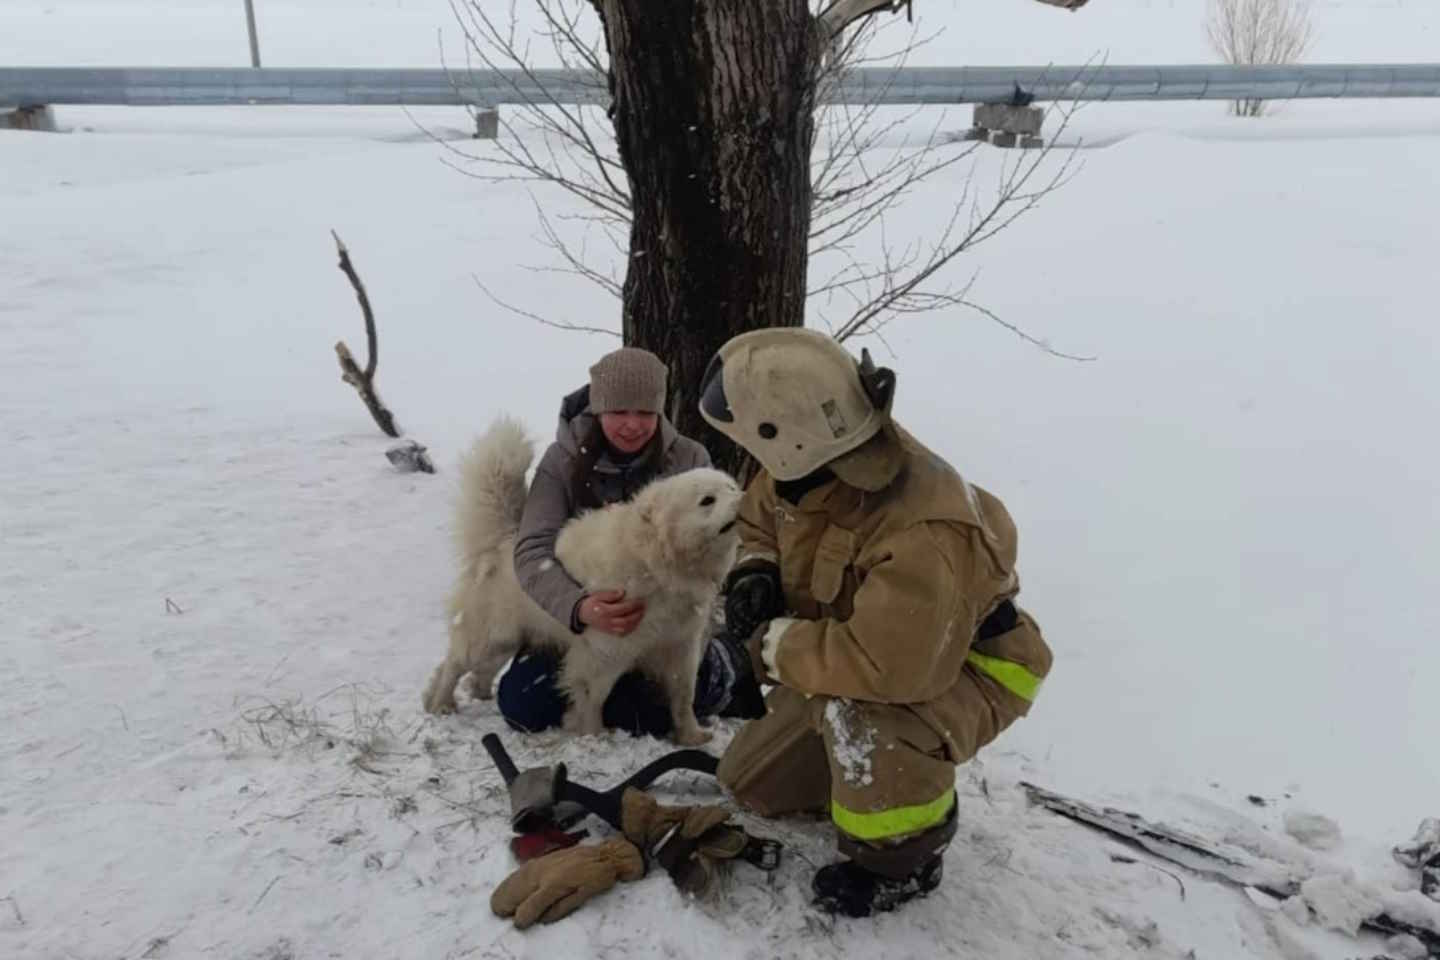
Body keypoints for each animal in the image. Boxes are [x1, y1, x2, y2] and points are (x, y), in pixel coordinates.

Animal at [420, 414, 743, 742]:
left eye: (731, 487)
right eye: (707, 500)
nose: (742, 499)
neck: (658, 561)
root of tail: (505, 541)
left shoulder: (680, 645)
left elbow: (683, 694)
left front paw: (692, 735)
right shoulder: (605, 648)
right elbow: (593, 695)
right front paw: (591, 734)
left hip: (508, 639)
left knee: (479, 668)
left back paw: (478, 692)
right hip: (489, 636)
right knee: (453, 664)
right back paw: (441, 703)